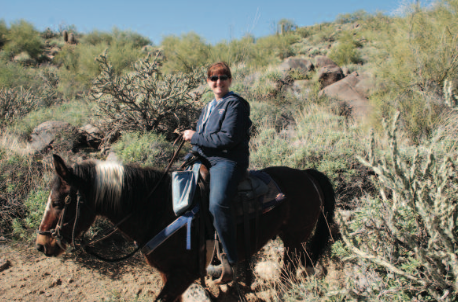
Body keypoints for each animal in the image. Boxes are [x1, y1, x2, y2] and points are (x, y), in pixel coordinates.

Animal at [35, 155, 334, 300]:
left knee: (289, 271)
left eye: (59, 202)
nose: (42, 245)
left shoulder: (183, 274)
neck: (159, 210)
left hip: (294, 239)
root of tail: (306, 174)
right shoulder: (167, 274)